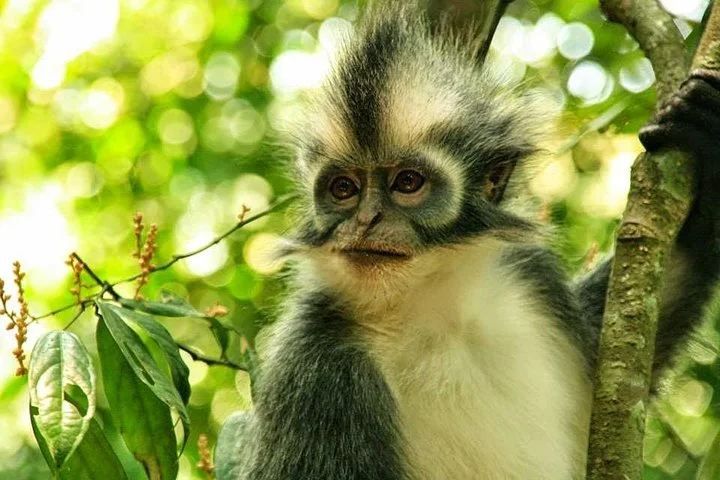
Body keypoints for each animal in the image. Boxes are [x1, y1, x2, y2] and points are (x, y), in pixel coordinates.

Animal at [218, 1, 720, 478]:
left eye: (407, 182)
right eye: (344, 188)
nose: (365, 220)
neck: (435, 307)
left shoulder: (531, 276)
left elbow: (625, 367)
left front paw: (703, 136)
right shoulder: (314, 368)